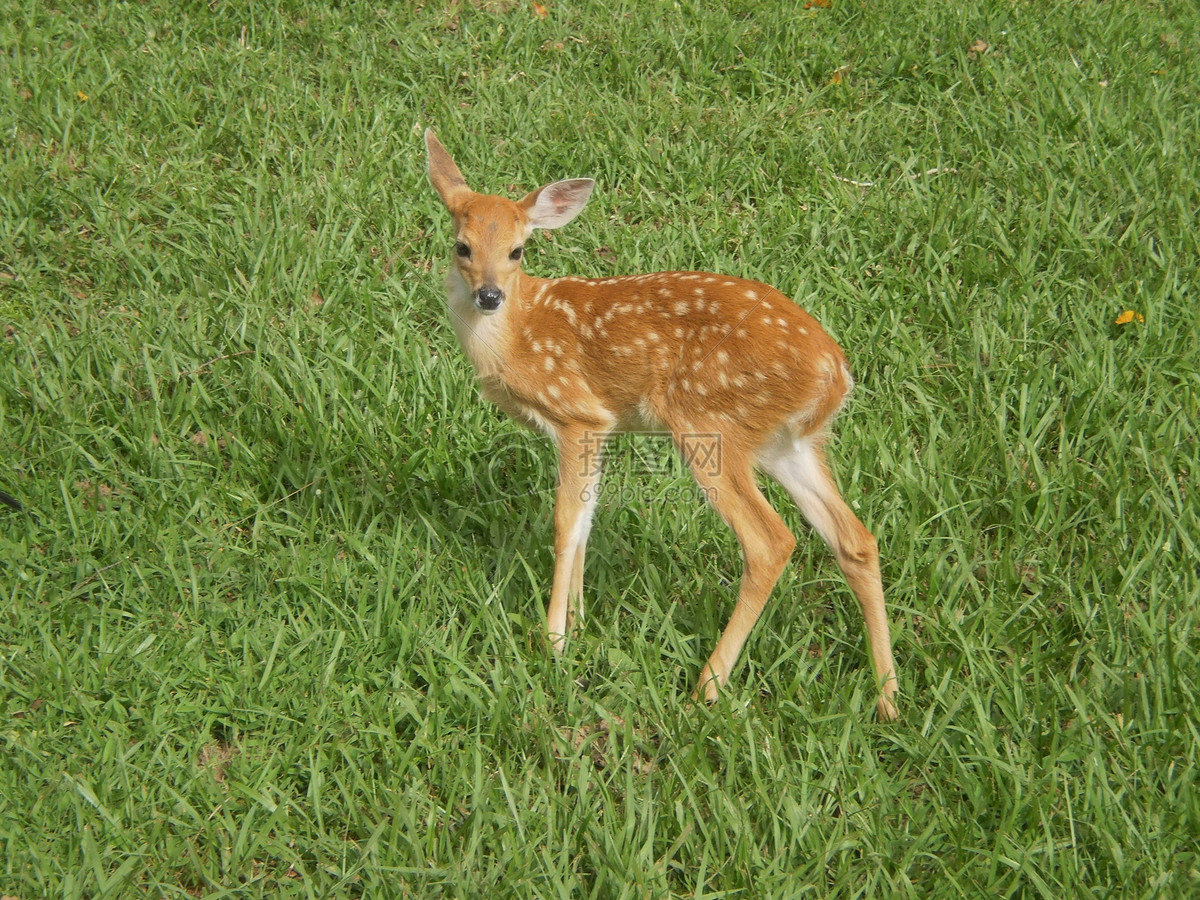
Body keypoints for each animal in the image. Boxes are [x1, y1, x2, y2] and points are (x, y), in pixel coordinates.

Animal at [427, 130, 897, 724]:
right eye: (462, 246)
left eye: (518, 251)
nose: (489, 295)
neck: (518, 333)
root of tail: (836, 372)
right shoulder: (602, 426)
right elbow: (587, 521)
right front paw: (580, 624)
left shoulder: (576, 413)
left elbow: (565, 522)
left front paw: (553, 640)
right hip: (785, 443)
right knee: (855, 539)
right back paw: (888, 698)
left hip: (707, 423)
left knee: (771, 541)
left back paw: (707, 687)